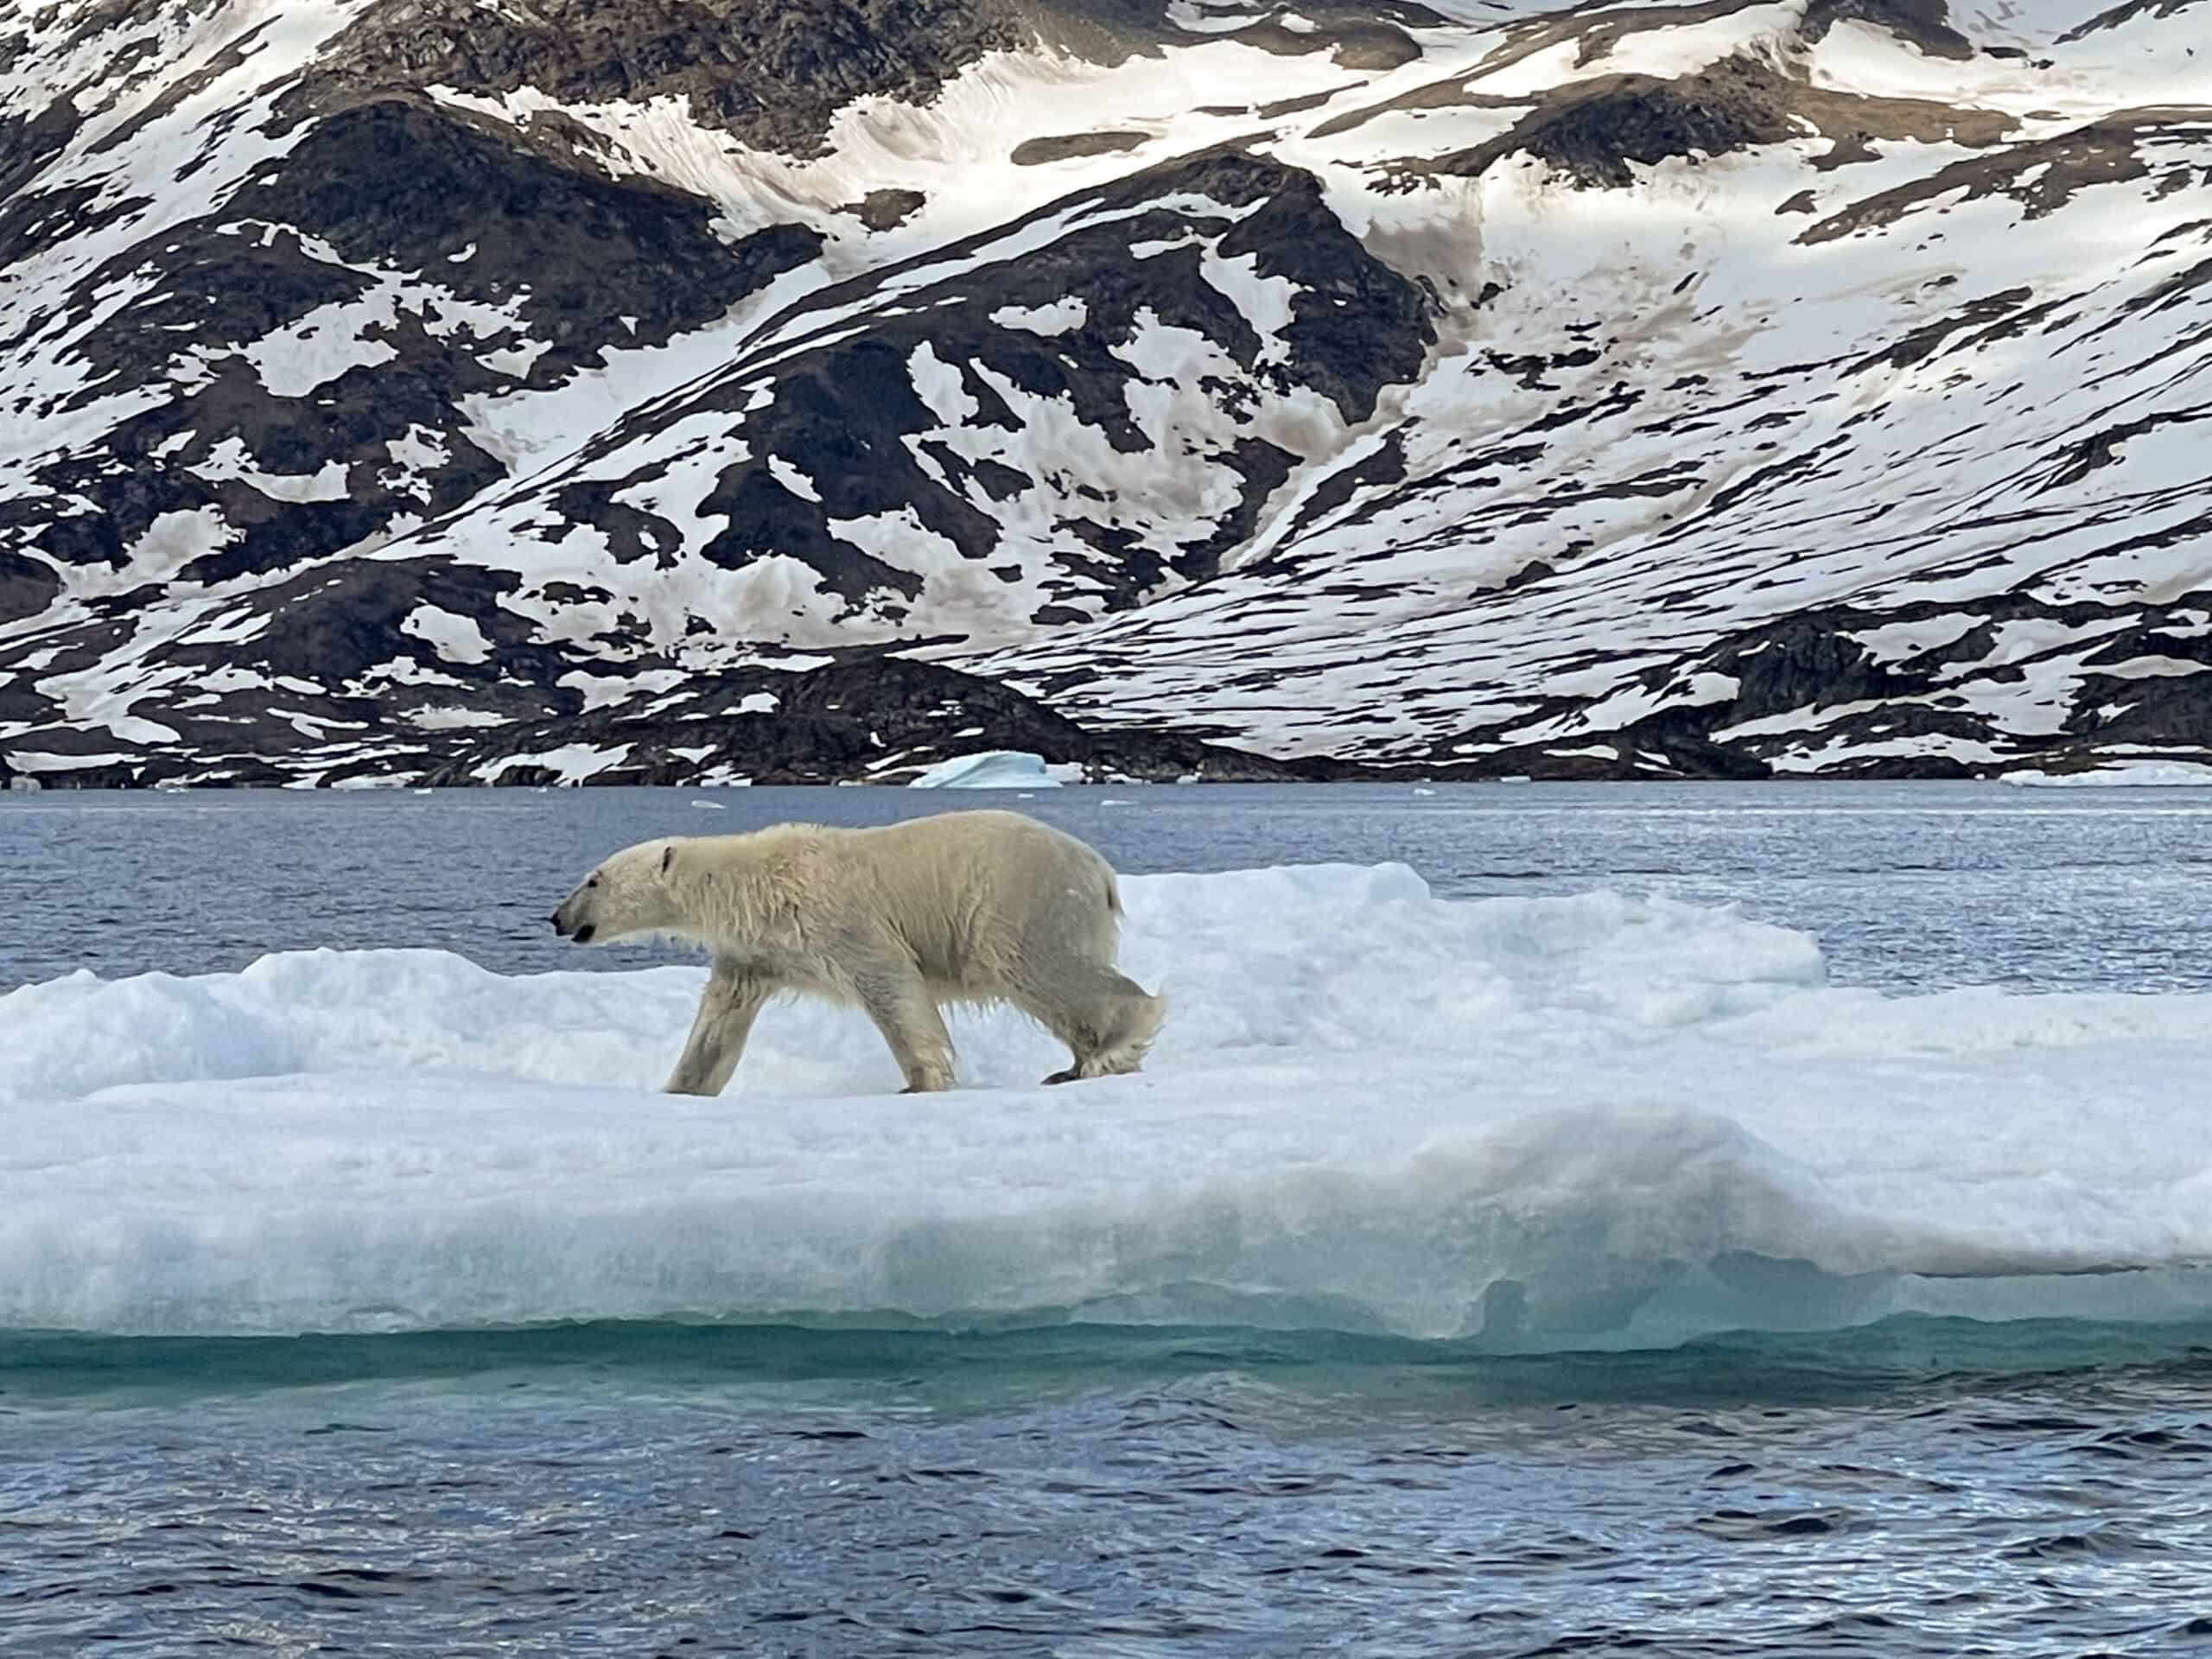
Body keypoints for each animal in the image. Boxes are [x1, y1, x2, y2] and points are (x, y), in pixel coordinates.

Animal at [549, 808, 1166, 1097]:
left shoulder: (837, 919)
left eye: (593, 879)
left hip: (1016, 897)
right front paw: (679, 1089)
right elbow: (718, 1023)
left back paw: (1109, 1051)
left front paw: (920, 1082)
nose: (557, 919)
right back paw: (1074, 1064)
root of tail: (1100, 871)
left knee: (1035, 966)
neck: (752, 883)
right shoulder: (755, 952)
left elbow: (891, 986)